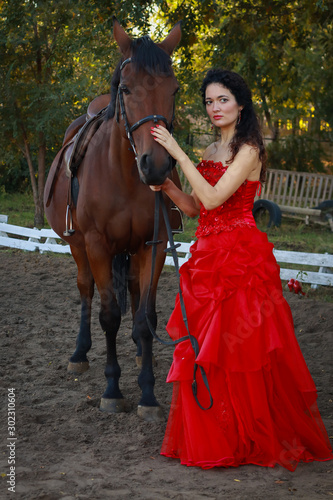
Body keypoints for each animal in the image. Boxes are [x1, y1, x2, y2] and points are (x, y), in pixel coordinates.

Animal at [44, 17, 182, 420]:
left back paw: (136, 351)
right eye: (126, 87)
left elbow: (146, 317)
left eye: (174, 89)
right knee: (86, 289)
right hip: (77, 246)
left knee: (134, 294)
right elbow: (109, 315)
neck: (123, 173)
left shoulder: (152, 244)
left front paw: (148, 394)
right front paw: (112, 390)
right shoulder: (97, 245)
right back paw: (79, 353)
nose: (156, 166)